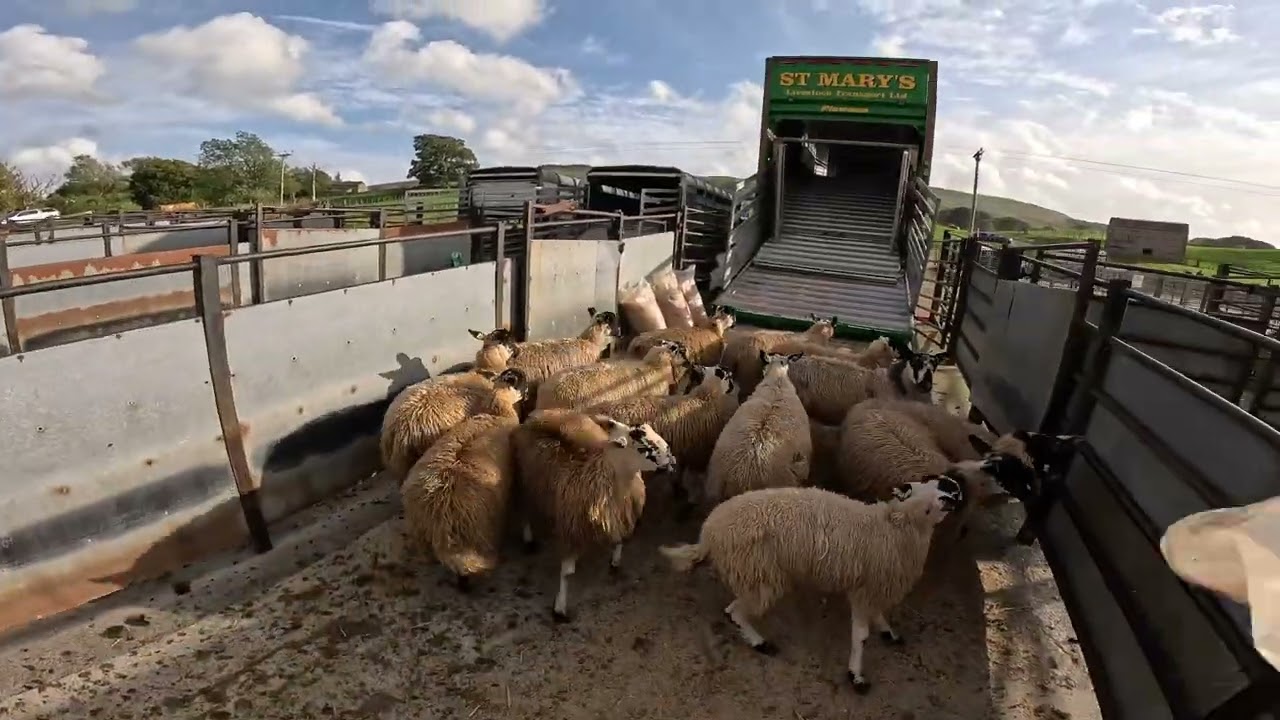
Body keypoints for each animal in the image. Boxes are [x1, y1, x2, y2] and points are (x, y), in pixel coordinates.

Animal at [512, 409, 677, 621]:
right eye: (643, 447)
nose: (672, 461)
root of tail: (537, 414)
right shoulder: (571, 528)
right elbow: (567, 573)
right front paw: (560, 608)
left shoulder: (619, 514)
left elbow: (620, 540)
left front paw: (615, 563)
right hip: (526, 484)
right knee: (525, 511)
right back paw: (528, 539)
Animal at [659, 477, 974, 692]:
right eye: (935, 494)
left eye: (937, 485)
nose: (954, 487)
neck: (897, 526)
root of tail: (708, 534)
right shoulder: (865, 589)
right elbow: (860, 635)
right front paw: (856, 676)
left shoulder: (872, 588)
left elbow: (877, 617)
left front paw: (889, 632)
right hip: (760, 575)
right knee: (736, 610)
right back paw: (761, 643)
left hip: (753, 575)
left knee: (732, 610)